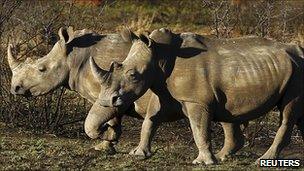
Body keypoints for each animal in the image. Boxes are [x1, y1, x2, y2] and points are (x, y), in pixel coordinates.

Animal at [7, 26, 245, 160]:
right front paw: (105, 145)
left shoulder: (108, 93)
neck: (73, 57)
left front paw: (104, 139)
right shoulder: (112, 94)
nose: (15, 89)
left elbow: (93, 123)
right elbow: (110, 120)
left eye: (41, 69)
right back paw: (227, 155)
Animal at [91, 30, 304, 164]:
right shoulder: (168, 95)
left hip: (297, 73)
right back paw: (223, 156)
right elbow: (150, 121)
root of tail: (300, 51)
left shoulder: (196, 101)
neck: (159, 55)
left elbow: (198, 128)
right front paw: (138, 154)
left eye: (133, 75)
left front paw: (203, 162)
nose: (109, 101)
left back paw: (262, 160)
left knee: (288, 111)